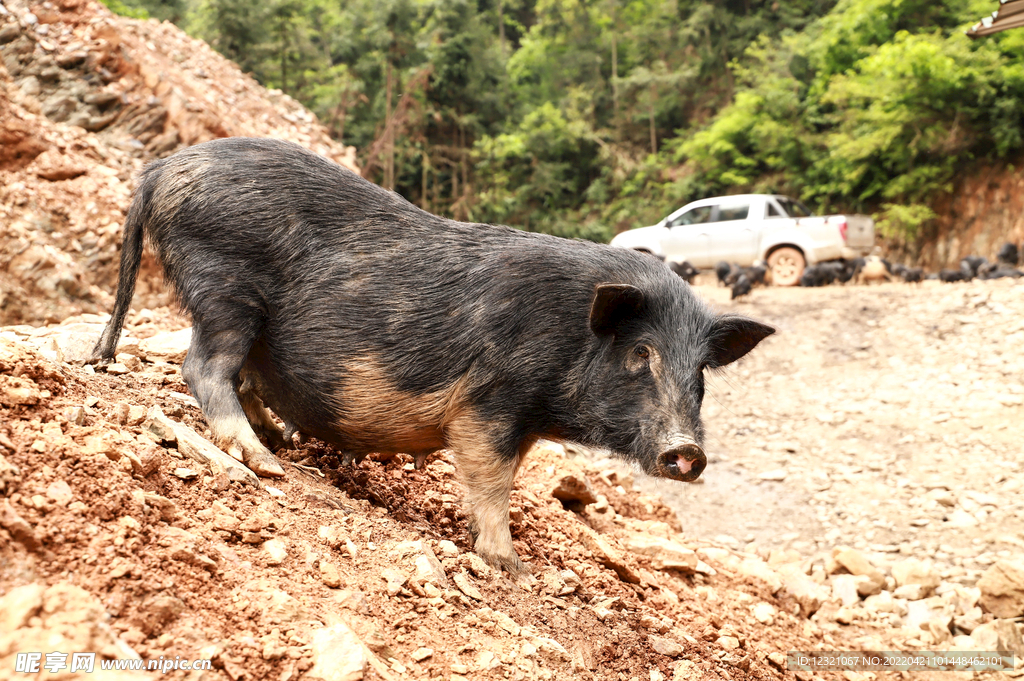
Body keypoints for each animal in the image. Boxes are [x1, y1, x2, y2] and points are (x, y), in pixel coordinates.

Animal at [90, 137, 774, 573]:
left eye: (701, 372)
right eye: (640, 353)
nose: (688, 452)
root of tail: (160, 170)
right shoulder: (492, 402)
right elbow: (492, 479)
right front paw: (511, 565)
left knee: (240, 376)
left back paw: (277, 442)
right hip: (223, 289)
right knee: (203, 368)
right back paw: (262, 461)